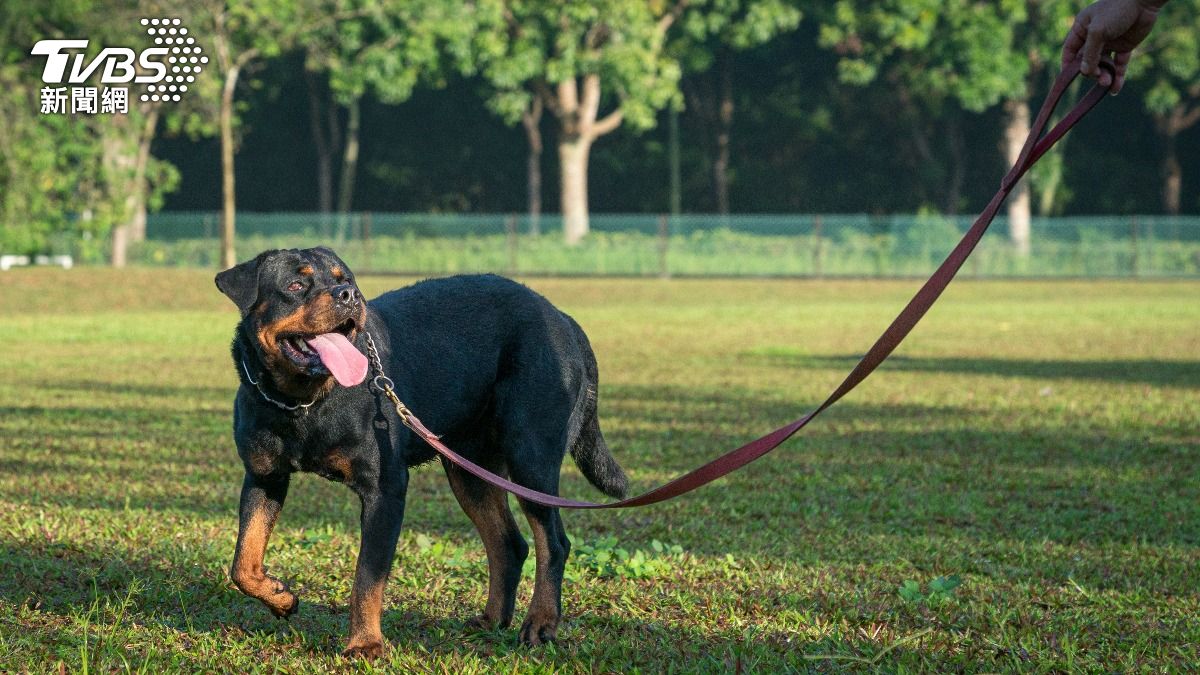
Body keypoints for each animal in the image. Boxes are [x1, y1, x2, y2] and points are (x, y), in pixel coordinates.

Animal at [217, 246, 628, 653]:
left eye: (344, 279)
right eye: (295, 285)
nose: (348, 295)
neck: (301, 403)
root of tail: (562, 317)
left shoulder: (385, 489)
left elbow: (367, 576)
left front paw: (364, 644)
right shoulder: (264, 477)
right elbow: (244, 560)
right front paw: (280, 597)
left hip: (531, 456)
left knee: (553, 543)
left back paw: (540, 624)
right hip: (469, 469)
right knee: (509, 544)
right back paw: (491, 620)